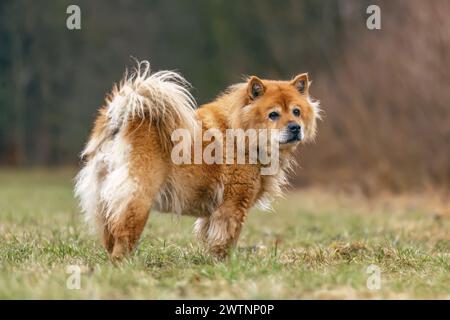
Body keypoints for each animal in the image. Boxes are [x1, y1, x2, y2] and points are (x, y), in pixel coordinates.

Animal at [74, 60, 320, 260]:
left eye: (296, 112)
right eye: (273, 115)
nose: (295, 127)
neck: (241, 132)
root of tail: (124, 119)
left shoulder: (214, 212)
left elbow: (209, 236)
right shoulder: (234, 204)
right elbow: (228, 238)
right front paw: (227, 265)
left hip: (103, 200)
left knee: (109, 235)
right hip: (138, 197)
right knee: (123, 235)